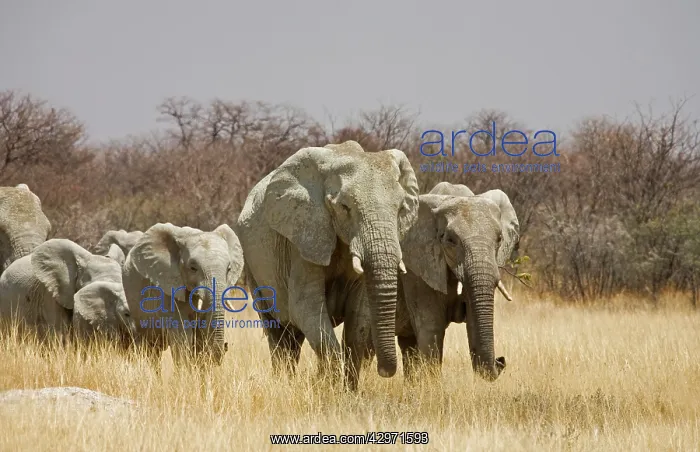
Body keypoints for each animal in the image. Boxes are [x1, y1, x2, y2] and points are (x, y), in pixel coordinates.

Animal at [121, 223, 244, 368]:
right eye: (193, 268)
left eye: (229, 269)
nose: (226, 346)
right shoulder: (167, 287)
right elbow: (183, 335)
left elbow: (201, 334)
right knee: (153, 349)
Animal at [236, 140, 419, 389]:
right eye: (344, 207)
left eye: (400, 208)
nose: (384, 371)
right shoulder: (303, 236)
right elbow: (305, 307)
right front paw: (328, 388)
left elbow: (359, 320)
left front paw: (348, 391)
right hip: (254, 268)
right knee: (279, 333)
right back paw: (285, 383)